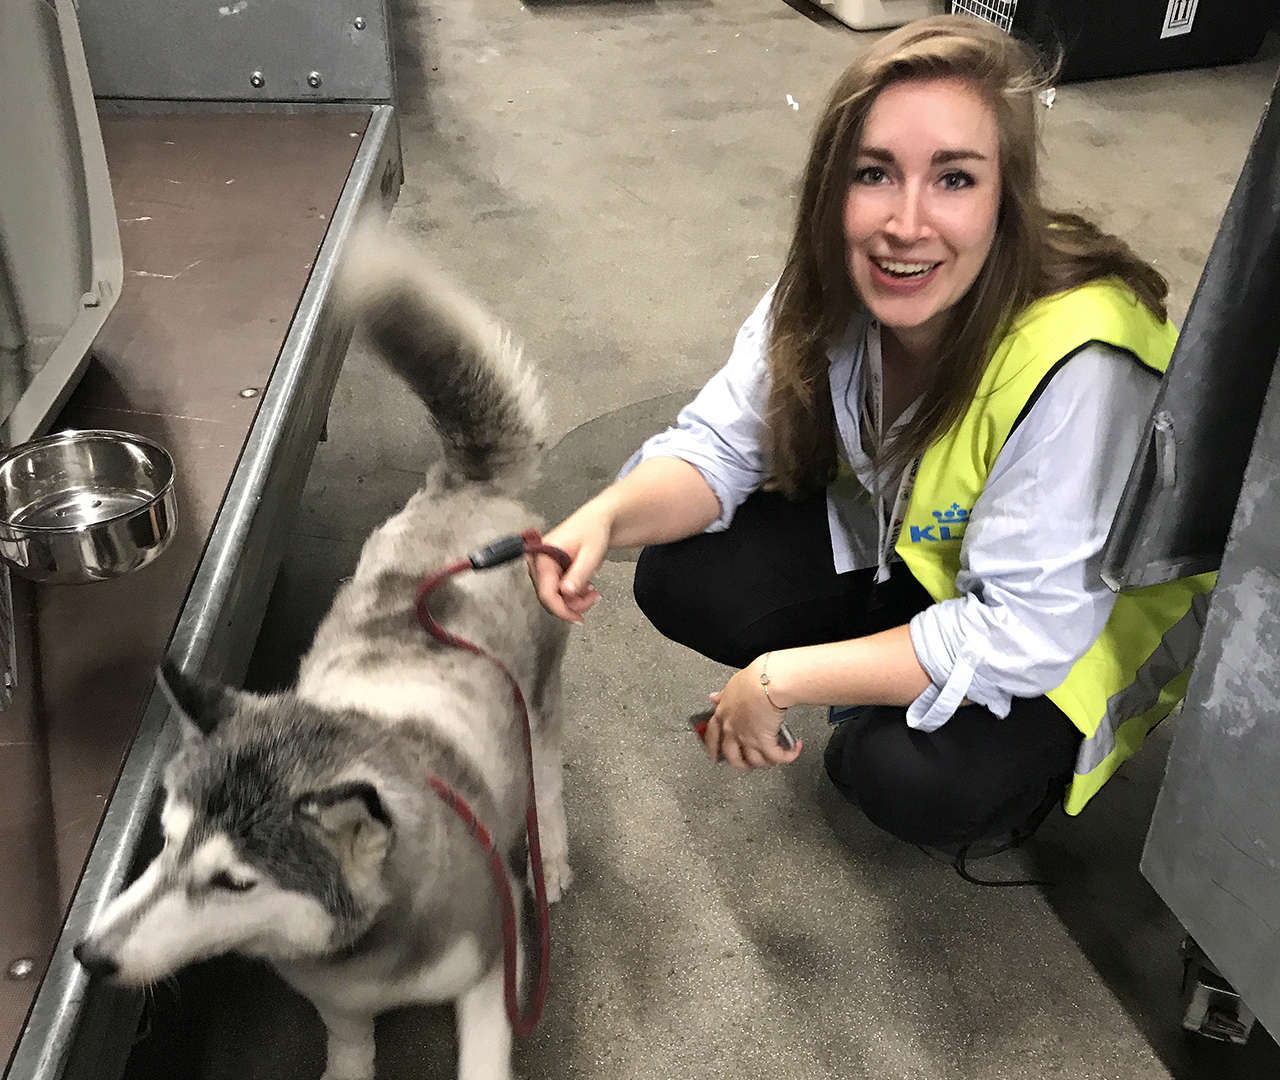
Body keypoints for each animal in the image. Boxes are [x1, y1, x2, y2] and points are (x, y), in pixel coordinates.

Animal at [71, 230, 570, 1080]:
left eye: (234, 882)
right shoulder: (334, 998)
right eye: (164, 840)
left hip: (536, 701)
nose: (89, 955)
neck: (370, 952)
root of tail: (464, 488)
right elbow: (347, 1042)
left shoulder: (493, 969)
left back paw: (557, 853)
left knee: (549, 770)